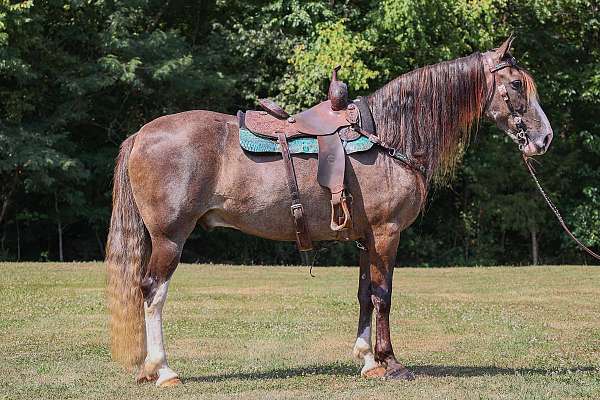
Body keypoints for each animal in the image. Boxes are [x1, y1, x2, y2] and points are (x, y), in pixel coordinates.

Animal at [106, 38, 552, 388]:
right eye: (516, 84)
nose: (544, 138)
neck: (389, 135)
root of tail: (142, 134)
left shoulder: (366, 237)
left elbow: (364, 294)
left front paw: (367, 360)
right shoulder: (387, 233)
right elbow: (384, 295)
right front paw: (391, 362)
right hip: (170, 238)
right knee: (153, 292)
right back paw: (164, 370)